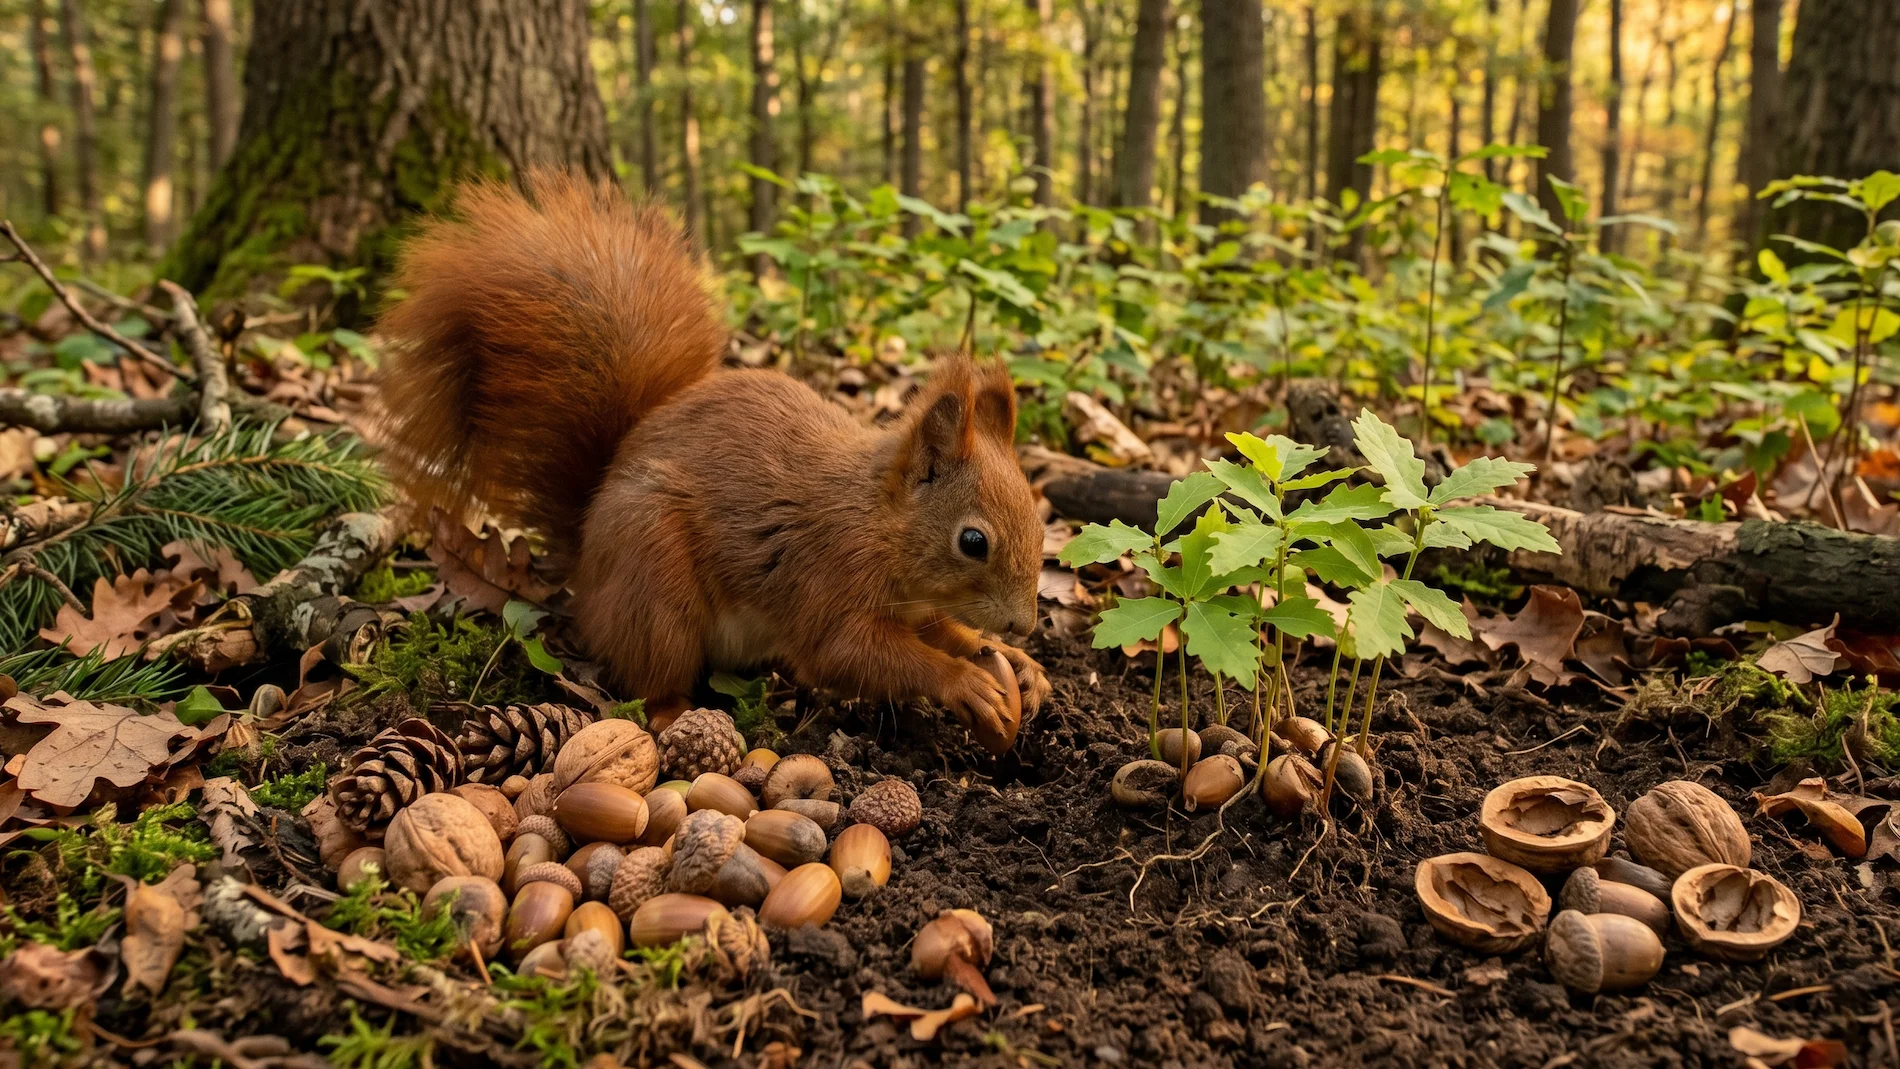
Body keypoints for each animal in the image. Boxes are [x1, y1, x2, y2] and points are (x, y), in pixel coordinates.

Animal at [376, 172, 1050, 751]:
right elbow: (847, 653)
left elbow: (940, 632)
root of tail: (587, 569)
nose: (1023, 624)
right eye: (973, 541)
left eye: (1042, 523)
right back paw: (676, 712)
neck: (880, 522)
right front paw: (963, 681)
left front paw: (1016, 664)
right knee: (652, 677)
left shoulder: (914, 602)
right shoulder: (828, 575)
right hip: (656, 581)